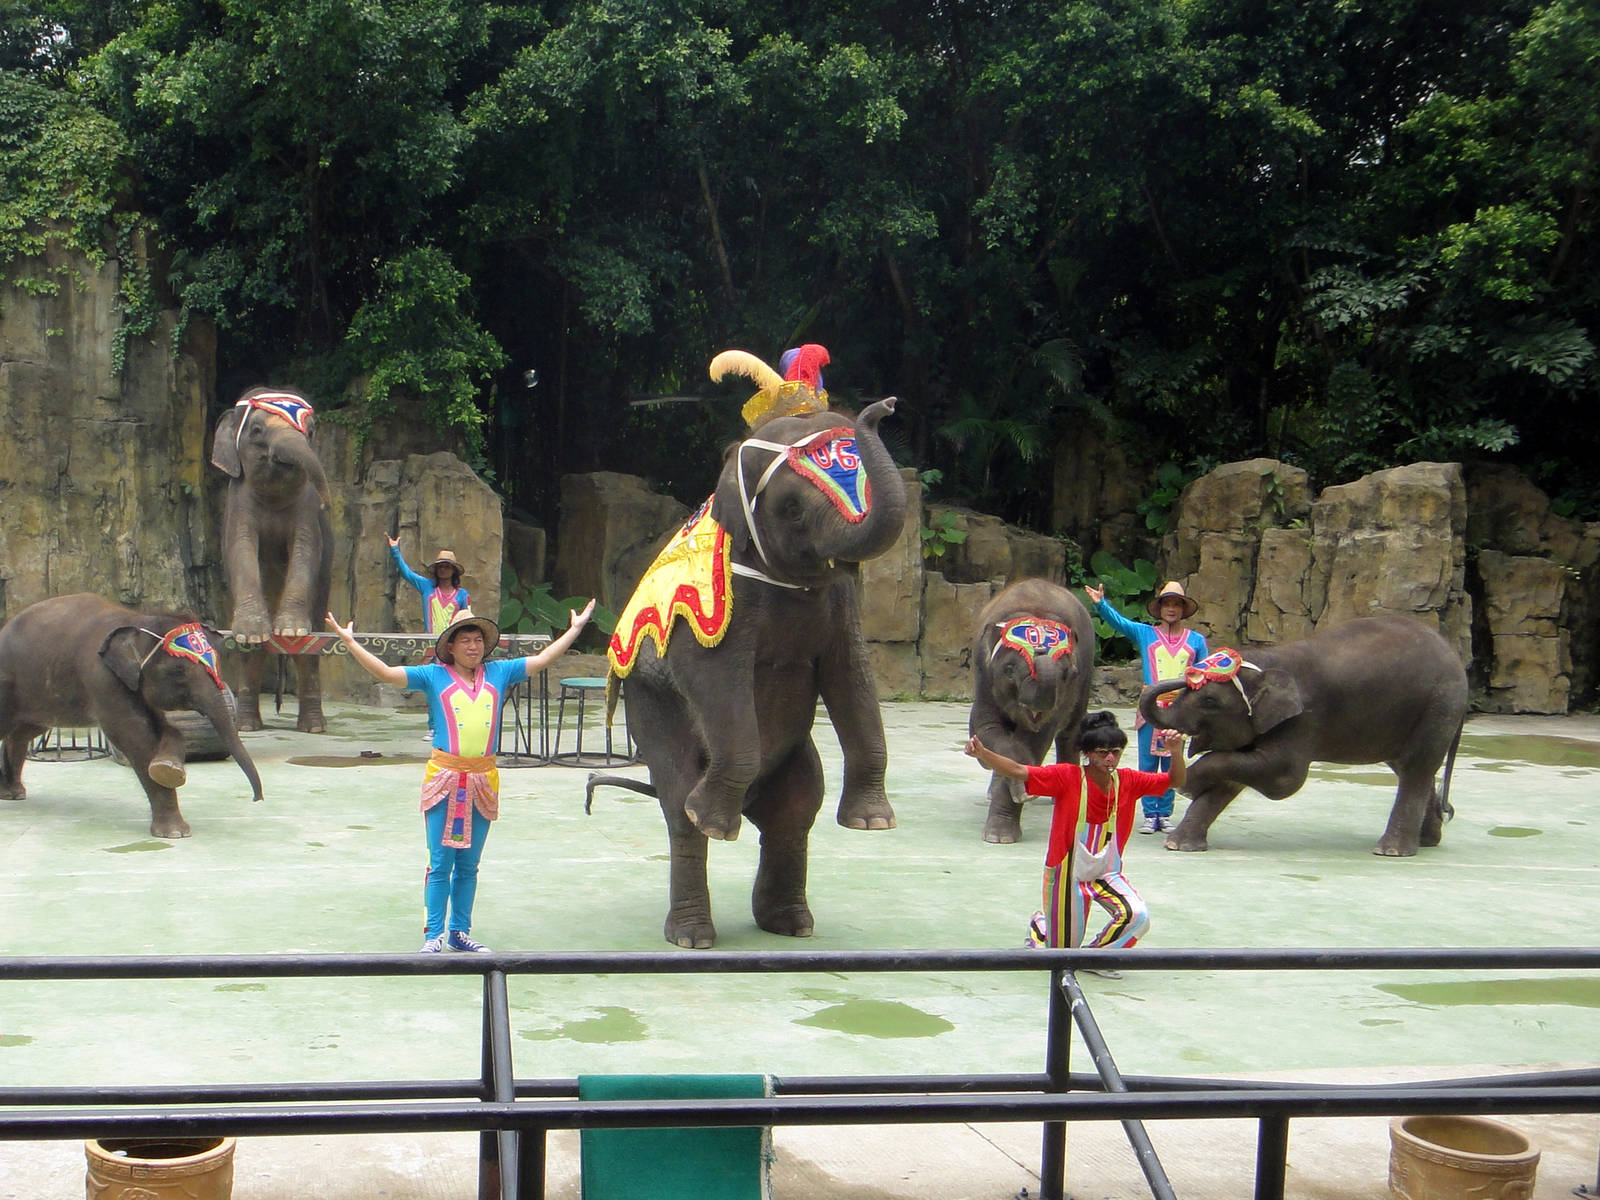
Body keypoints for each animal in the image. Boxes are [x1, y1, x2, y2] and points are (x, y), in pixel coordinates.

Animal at [0, 593, 264, 838]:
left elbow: (165, 726)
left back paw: (13, 794)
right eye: (179, 670)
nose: (257, 799)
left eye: (215, 665)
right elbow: (133, 733)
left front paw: (168, 768)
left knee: (25, 732)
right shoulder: (101, 677)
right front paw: (175, 833)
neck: (137, 620)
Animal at [210, 387, 333, 732]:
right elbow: (241, 548)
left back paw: (313, 727)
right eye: (256, 431)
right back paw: (247, 726)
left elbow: (306, 549)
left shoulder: (306, 506)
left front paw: (291, 632)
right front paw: (252, 632)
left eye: (311, 431)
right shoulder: (237, 500)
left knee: (309, 651)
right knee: (250, 654)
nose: (327, 504)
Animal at [588, 346, 907, 948]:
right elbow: (712, 675)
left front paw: (873, 824)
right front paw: (713, 821)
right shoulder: (718, 601)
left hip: (794, 762)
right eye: (792, 509)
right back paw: (695, 918)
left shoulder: (838, 603)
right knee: (679, 808)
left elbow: (852, 672)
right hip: (652, 712)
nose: (885, 406)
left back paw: (790, 926)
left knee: (797, 807)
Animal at [969, 579, 1095, 844]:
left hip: (1085, 684)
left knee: (1069, 735)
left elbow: (1036, 739)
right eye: (1008, 670)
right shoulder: (984, 677)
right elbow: (986, 727)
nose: (1040, 650)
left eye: (1066, 674)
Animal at [1137, 615, 1469, 857]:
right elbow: (1233, 777)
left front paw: (1188, 786)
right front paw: (1178, 846)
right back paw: (1427, 841)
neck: (1268, 660)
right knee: (1409, 768)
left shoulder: (1302, 720)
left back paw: (1391, 851)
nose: (1188, 673)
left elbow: (1283, 778)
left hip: (1440, 705)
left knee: (1416, 767)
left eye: (1209, 701)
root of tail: (1456, 657)